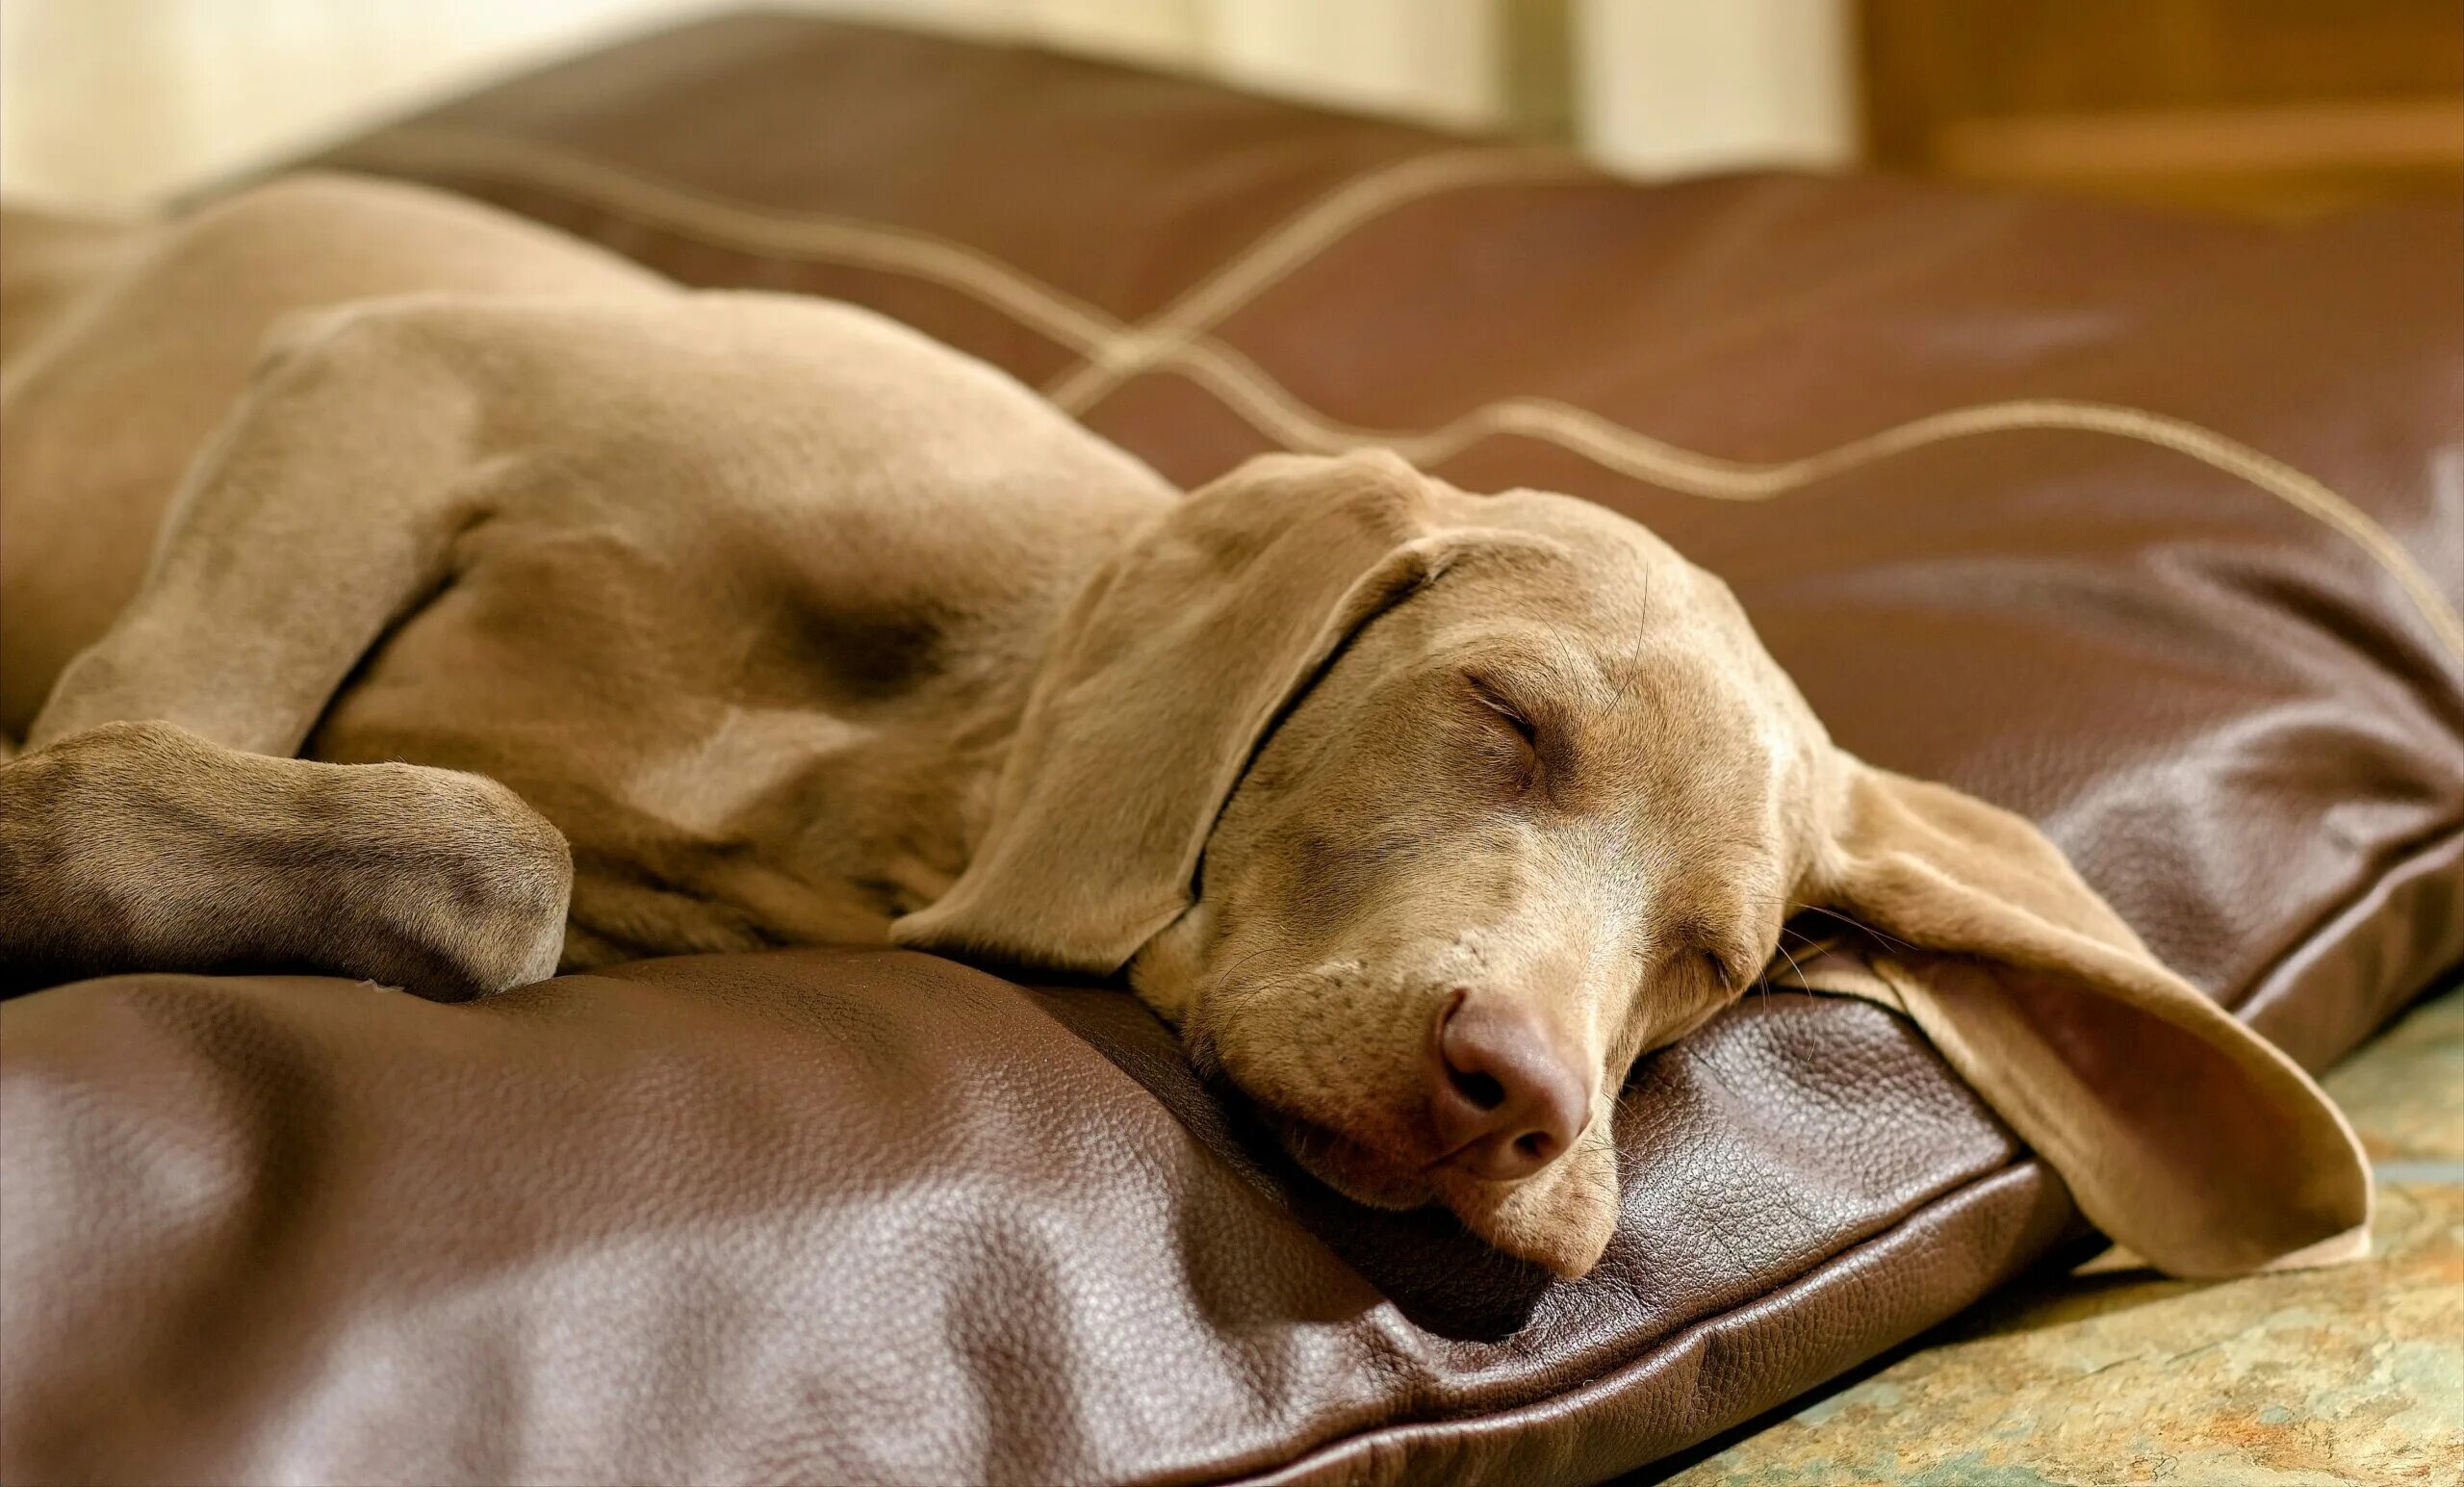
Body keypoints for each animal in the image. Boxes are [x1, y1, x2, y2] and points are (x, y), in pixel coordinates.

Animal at [0, 177, 2365, 1280]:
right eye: (1502, 713)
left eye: (1723, 956)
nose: (1518, 1099)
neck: (929, 750)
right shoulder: (385, 368)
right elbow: (381, 787)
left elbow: (512, 864)